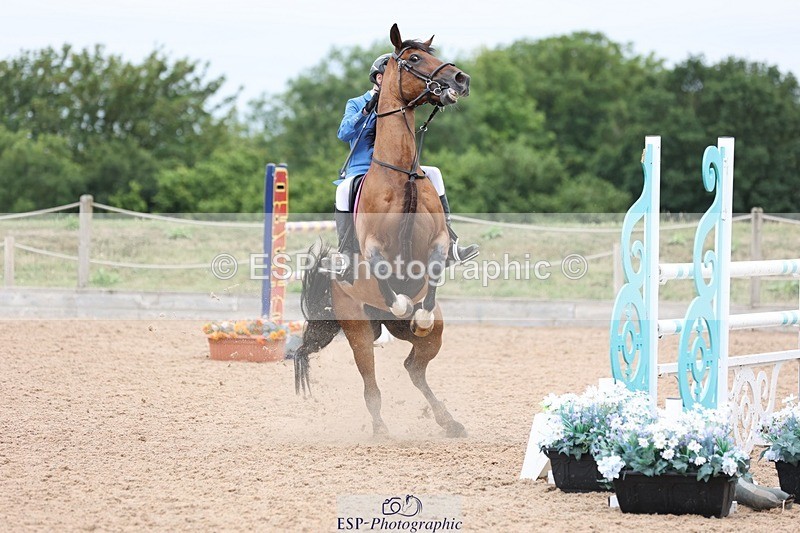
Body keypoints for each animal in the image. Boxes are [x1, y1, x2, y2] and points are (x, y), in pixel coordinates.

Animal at [293, 24, 470, 438]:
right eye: (414, 59)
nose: (460, 79)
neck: (401, 173)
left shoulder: (437, 240)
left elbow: (435, 264)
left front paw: (419, 310)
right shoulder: (374, 246)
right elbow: (381, 267)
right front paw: (402, 300)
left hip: (430, 334)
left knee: (414, 368)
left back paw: (448, 420)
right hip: (358, 329)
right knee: (370, 381)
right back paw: (381, 429)